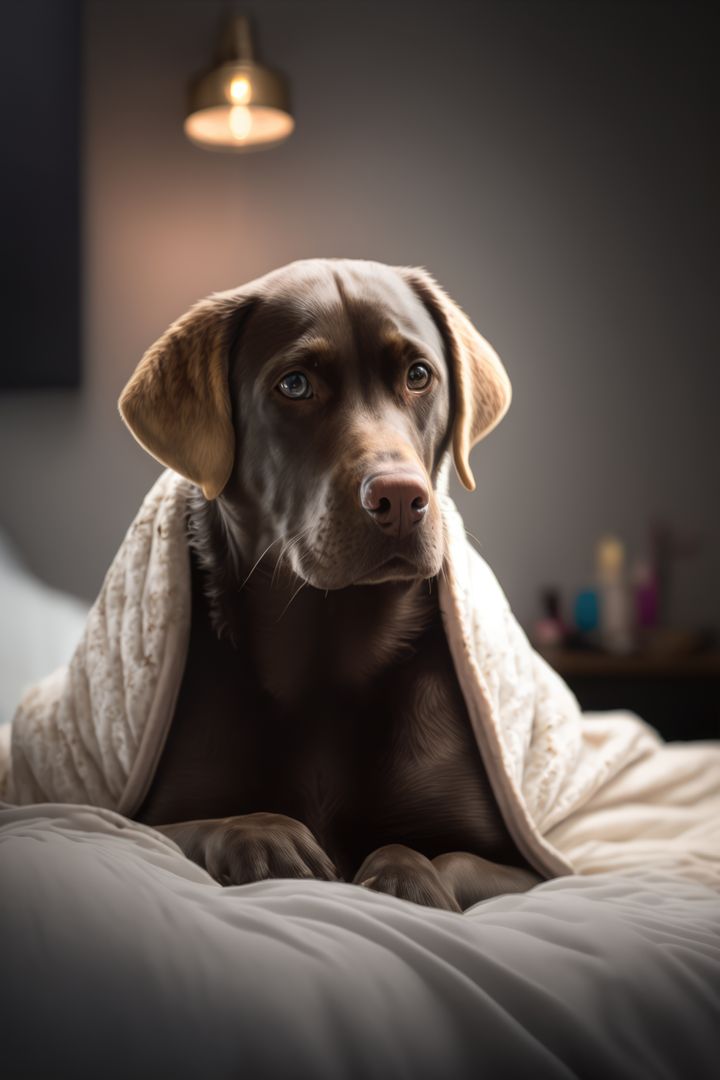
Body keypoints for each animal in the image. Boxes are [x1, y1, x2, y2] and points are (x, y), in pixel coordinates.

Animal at [120, 261, 539, 911]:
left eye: (419, 375)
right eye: (295, 385)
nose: (400, 499)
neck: (328, 657)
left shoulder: (530, 868)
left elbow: (441, 857)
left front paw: (405, 875)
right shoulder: (138, 815)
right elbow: (188, 827)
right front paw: (266, 837)